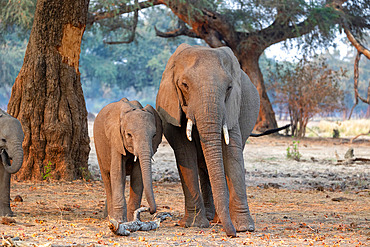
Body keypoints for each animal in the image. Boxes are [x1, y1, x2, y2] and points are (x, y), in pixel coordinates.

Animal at [155, 43, 258, 236]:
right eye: (184, 85)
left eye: (229, 87)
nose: (231, 234)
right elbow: (184, 153)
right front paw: (195, 224)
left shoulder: (231, 108)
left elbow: (232, 153)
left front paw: (244, 228)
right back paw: (211, 218)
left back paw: (217, 219)